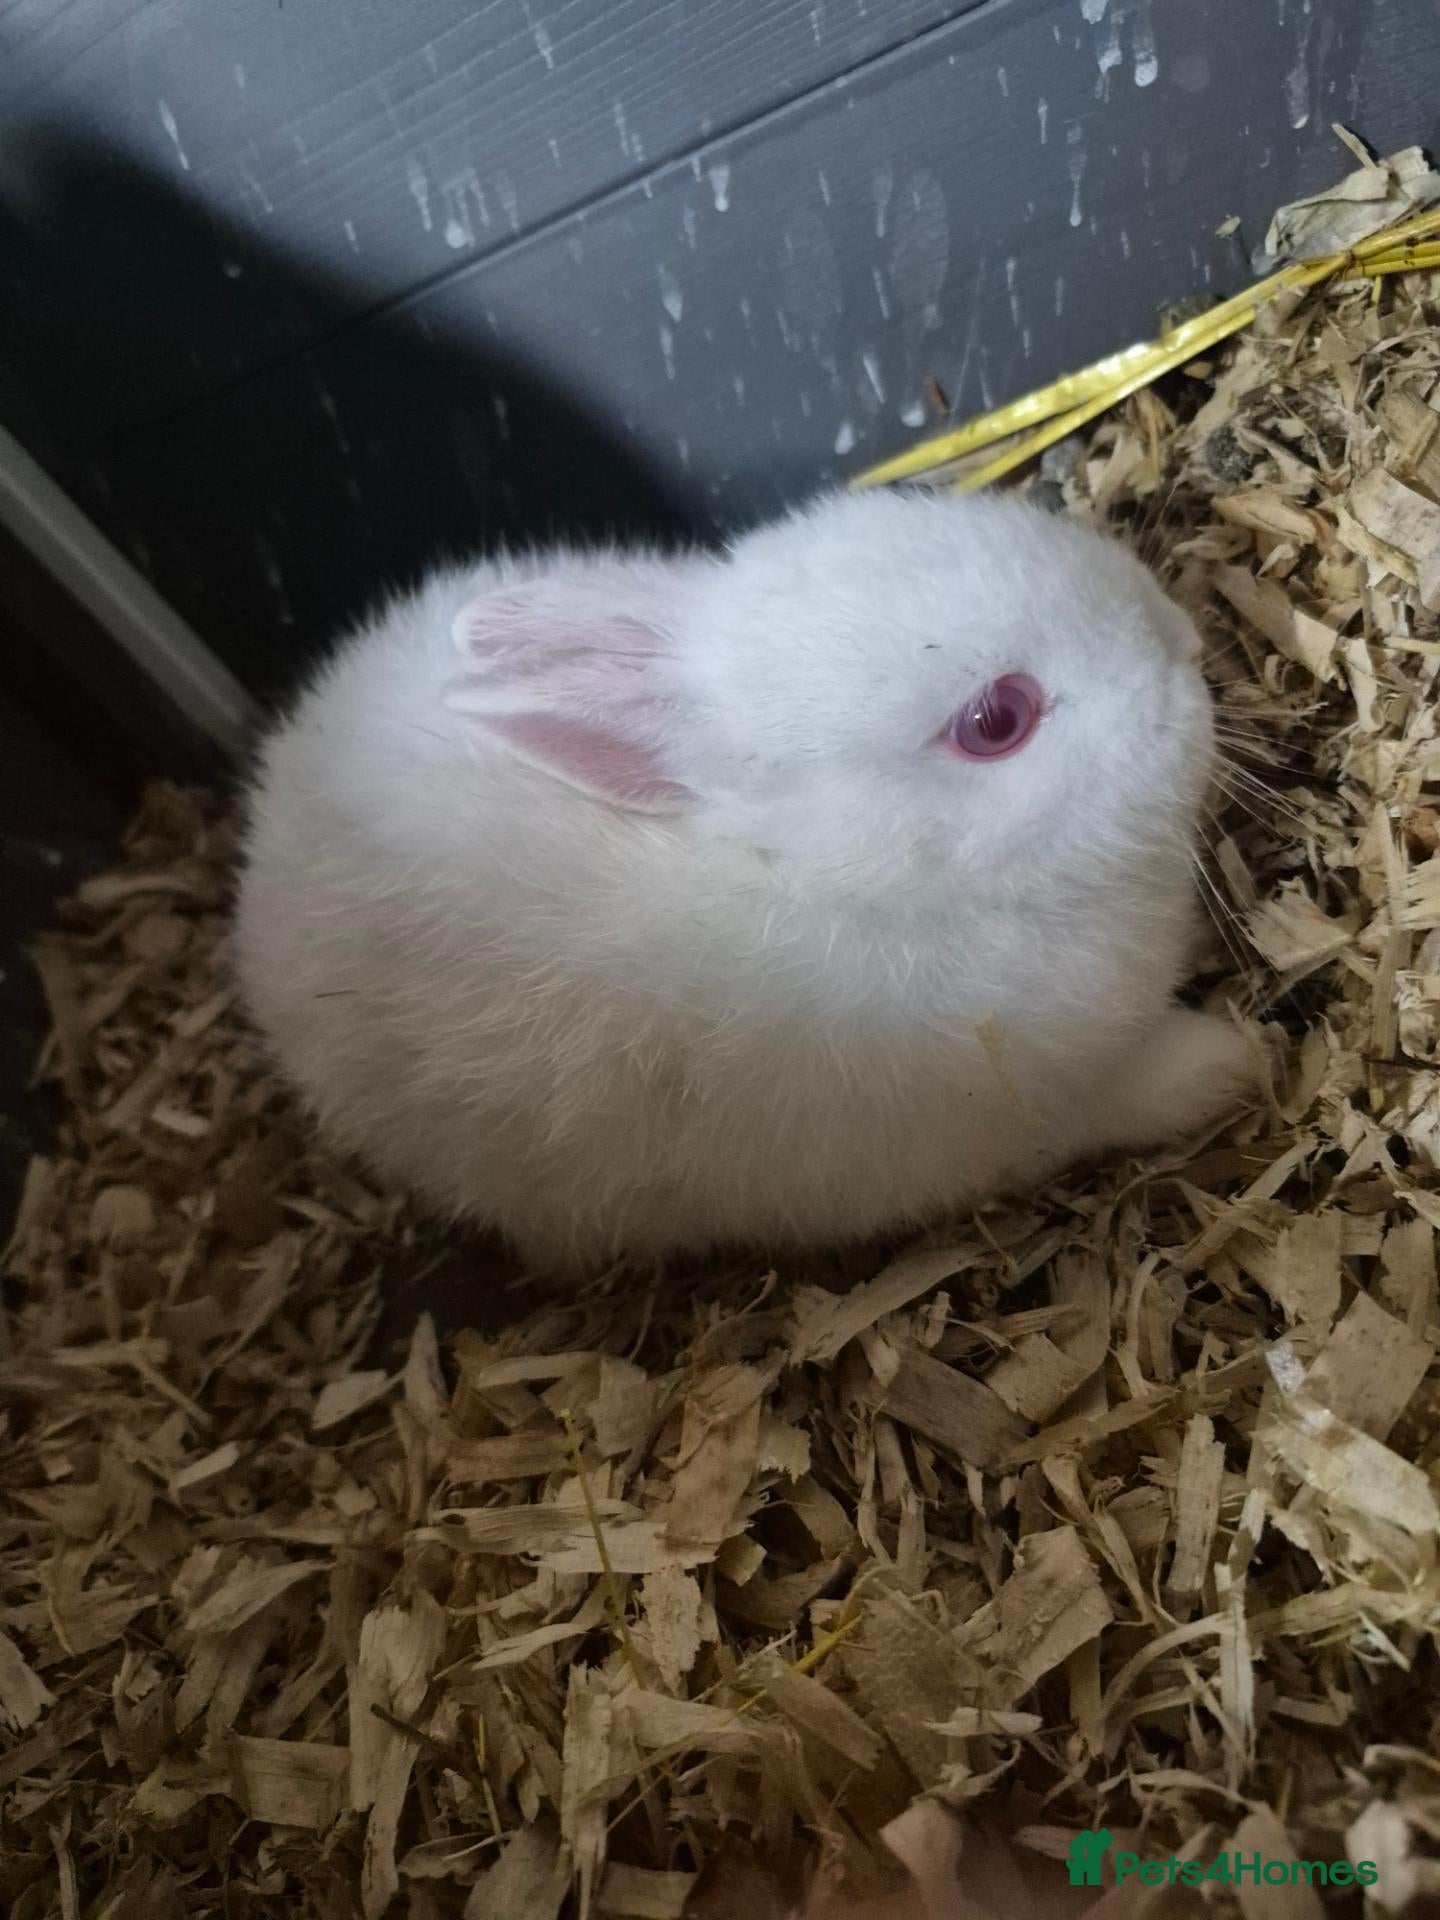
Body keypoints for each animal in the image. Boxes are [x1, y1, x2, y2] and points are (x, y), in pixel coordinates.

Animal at [233, 487, 1253, 1276]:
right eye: (996, 720)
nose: (1185, 646)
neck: (838, 882)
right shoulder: (1022, 1119)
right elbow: (1133, 1095)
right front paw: (1230, 1063)